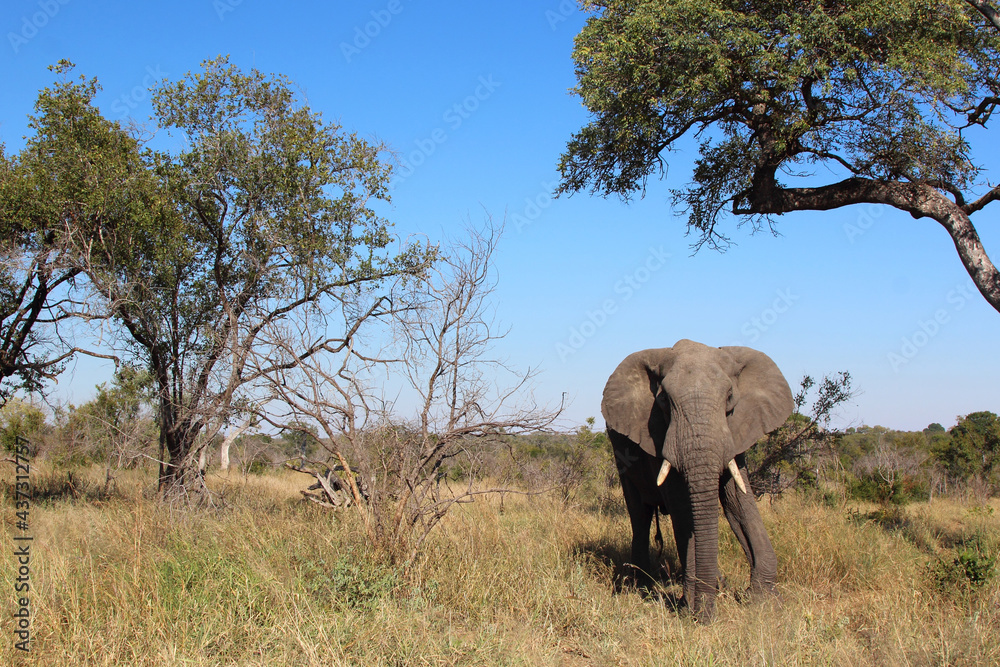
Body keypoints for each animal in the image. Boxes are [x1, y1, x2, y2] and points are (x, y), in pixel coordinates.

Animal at [602, 339, 793, 622]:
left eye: (729, 397)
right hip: (620, 453)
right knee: (640, 514)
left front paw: (764, 602)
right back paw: (642, 587)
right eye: (663, 400)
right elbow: (684, 511)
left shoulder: (735, 431)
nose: (705, 617)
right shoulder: (659, 437)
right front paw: (691, 607)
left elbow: (739, 504)